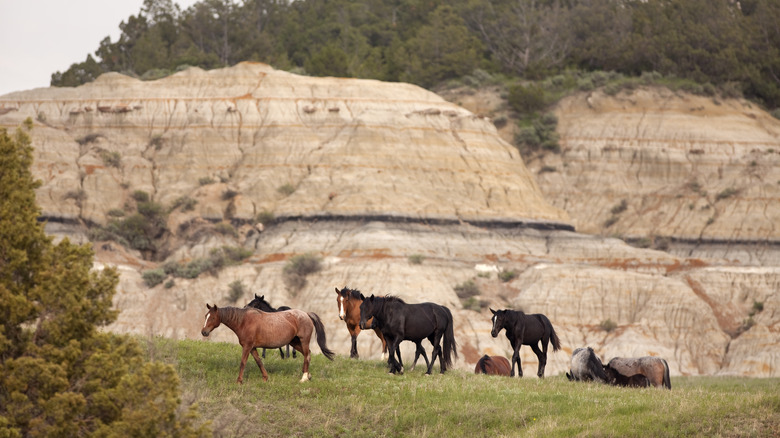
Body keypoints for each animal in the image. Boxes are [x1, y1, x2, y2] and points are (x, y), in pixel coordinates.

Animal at [201, 304, 332, 384]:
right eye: (205, 316)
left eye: (212, 318)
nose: (204, 332)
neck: (244, 321)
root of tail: (306, 314)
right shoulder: (252, 348)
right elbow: (259, 362)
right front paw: (265, 378)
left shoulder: (247, 347)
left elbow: (243, 362)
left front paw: (239, 380)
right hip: (294, 342)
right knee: (307, 354)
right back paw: (308, 375)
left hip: (303, 341)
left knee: (307, 355)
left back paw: (304, 377)